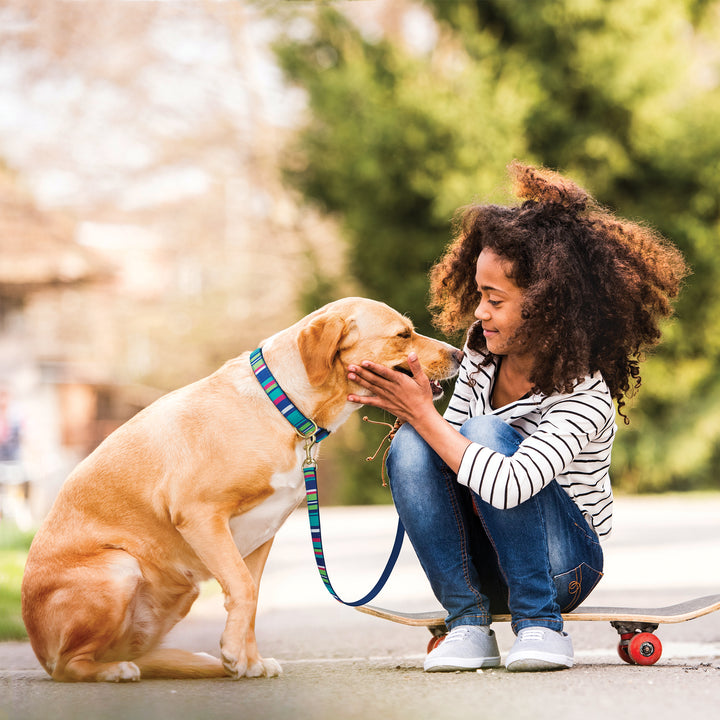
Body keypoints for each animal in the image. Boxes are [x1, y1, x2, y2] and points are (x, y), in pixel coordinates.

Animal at [22, 296, 464, 680]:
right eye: (402, 335)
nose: (460, 354)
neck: (283, 407)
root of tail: (37, 646)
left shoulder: (261, 535)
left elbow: (249, 594)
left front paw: (247, 660)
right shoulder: (200, 515)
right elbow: (243, 587)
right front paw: (237, 655)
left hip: (180, 590)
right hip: (121, 568)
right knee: (70, 665)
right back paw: (112, 671)